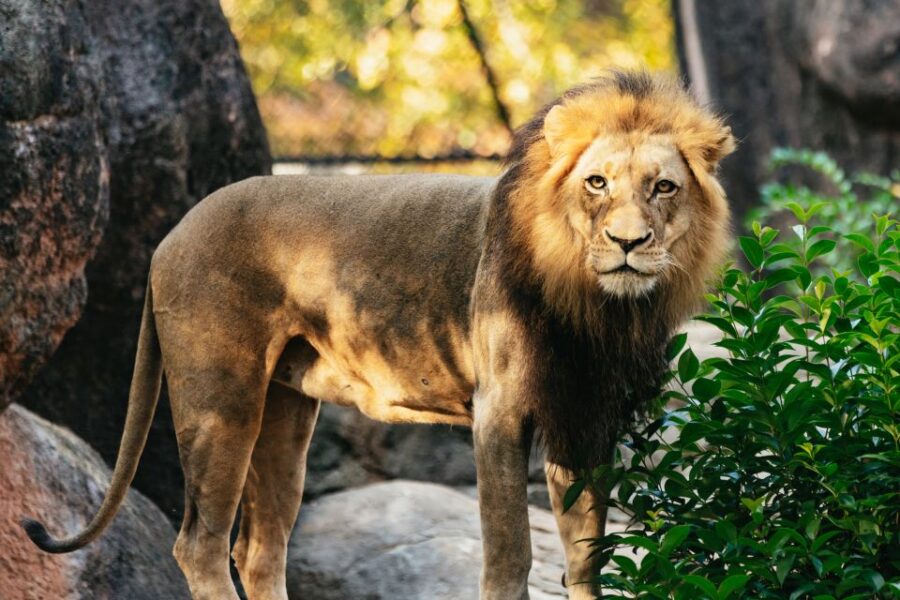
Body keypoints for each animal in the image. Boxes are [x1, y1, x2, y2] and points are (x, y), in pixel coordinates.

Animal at [22, 71, 734, 600]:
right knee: (201, 543)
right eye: (596, 183)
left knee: (259, 549)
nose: (628, 243)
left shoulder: (585, 416)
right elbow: (509, 554)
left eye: (663, 187)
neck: (598, 307)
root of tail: (172, 232)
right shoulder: (498, 413)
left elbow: (587, 558)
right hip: (220, 401)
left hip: (285, 412)